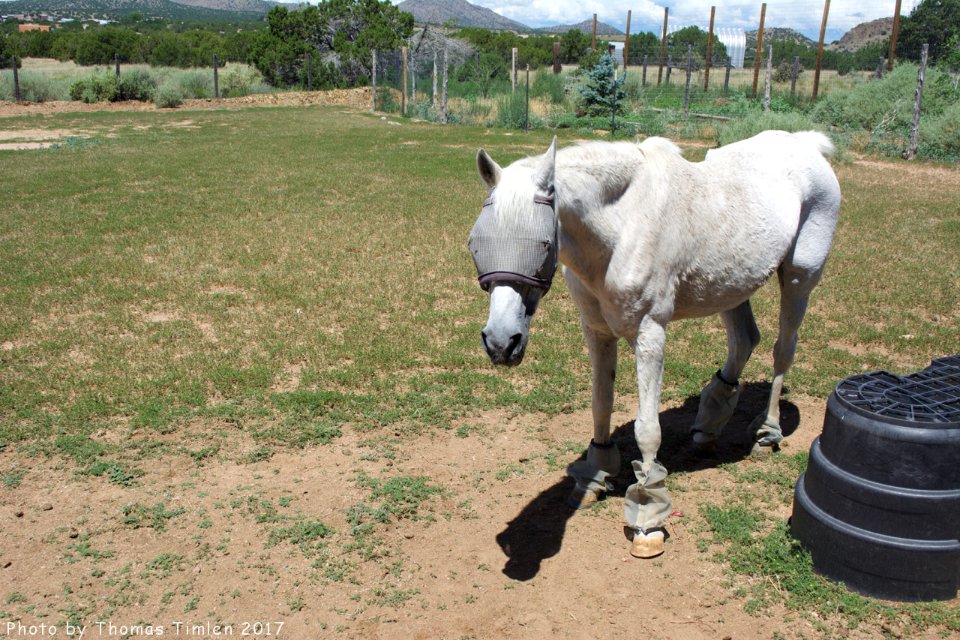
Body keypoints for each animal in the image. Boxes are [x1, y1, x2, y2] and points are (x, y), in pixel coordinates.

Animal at [468, 131, 836, 560]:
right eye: (475, 244)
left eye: (544, 243)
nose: (501, 342)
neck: (623, 224)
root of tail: (805, 143)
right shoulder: (597, 332)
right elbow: (601, 406)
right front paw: (596, 473)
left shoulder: (649, 335)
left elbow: (648, 430)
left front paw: (647, 515)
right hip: (732, 286)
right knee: (745, 340)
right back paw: (708, 428)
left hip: (798, 279)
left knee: (782, 351)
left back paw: (766, 431)